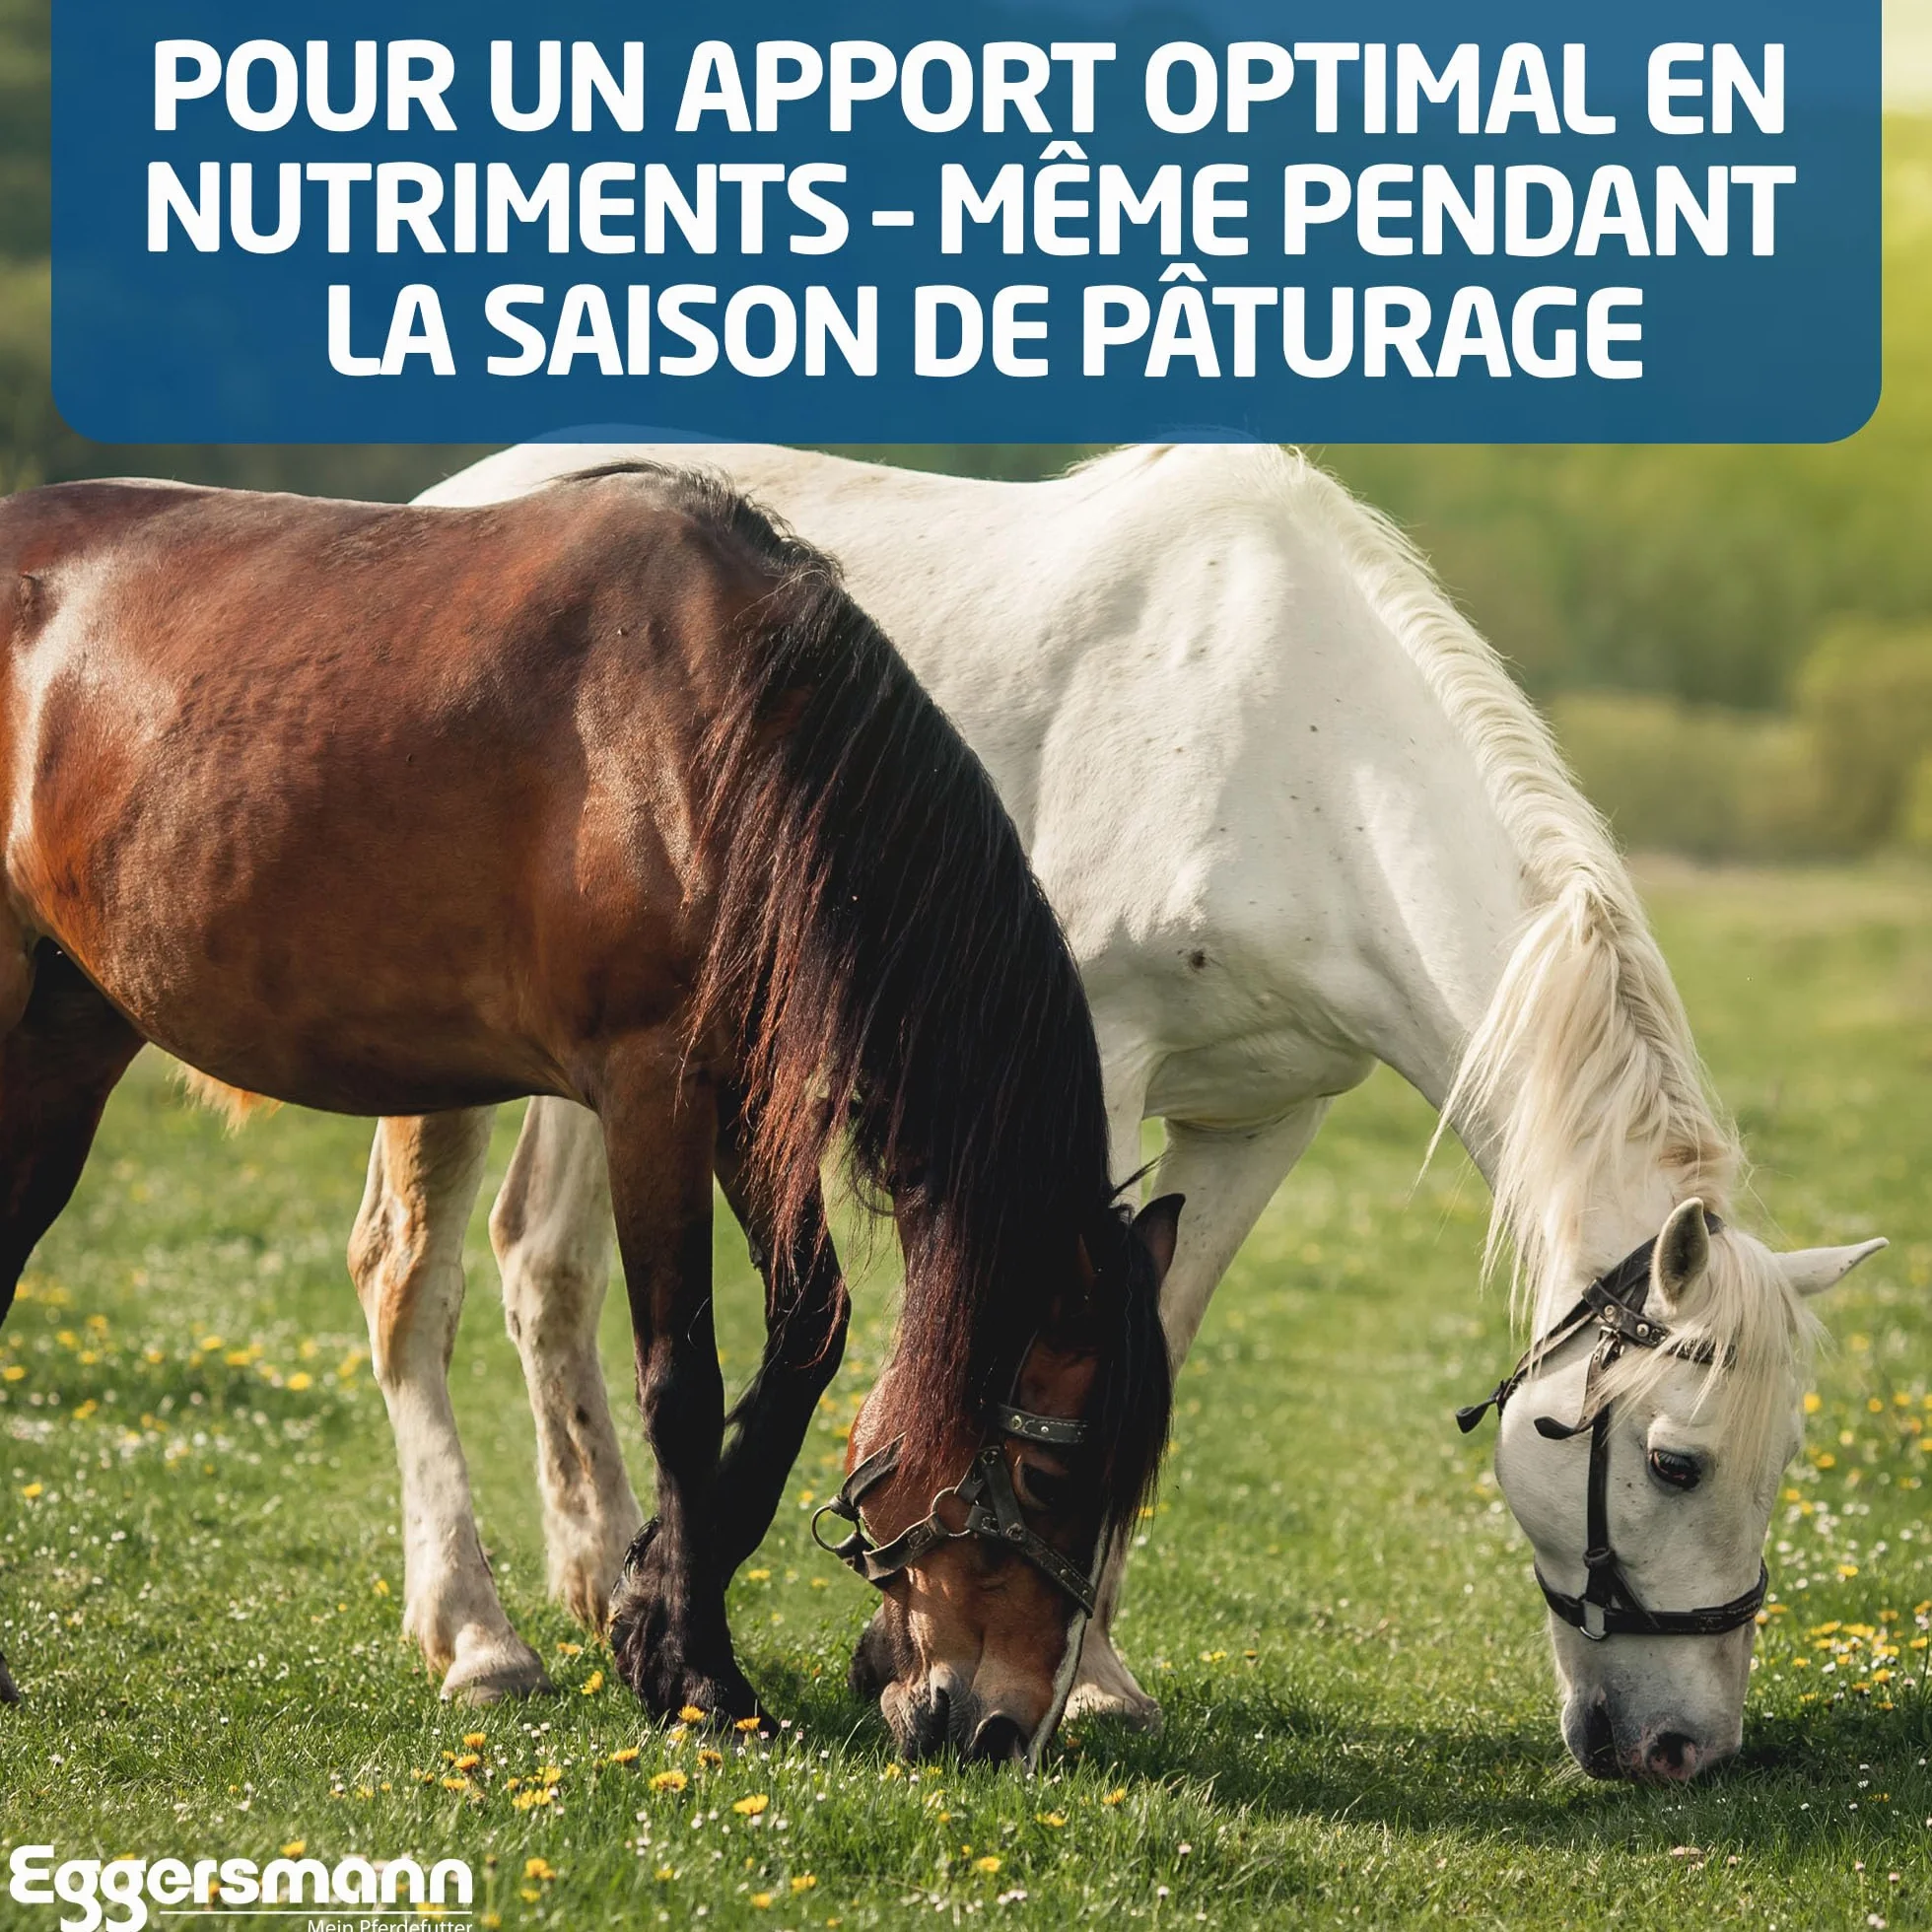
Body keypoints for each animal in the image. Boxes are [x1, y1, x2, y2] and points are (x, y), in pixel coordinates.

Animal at [0, 466, 1177, 1761]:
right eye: (1051, 1479)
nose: (1000, 1728)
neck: (719, 738)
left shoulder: (741, 1098)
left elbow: (807, 1334)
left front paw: (648, 1606)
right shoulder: (649, 1091)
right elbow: (682, 1379)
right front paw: (697, 1667)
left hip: (66, 1046)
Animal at [352, 441, 1885, 1782]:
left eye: (1782, 1461)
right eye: (1676, 1463)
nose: (1683, 1749)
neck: (1298, 750)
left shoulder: (1263, 1122)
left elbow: (1155, 1349)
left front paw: (1086, 1673)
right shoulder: (1087, 1074)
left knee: (543, 1267)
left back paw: (604, 1574)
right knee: (411, 1277)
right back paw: (478, 1636)